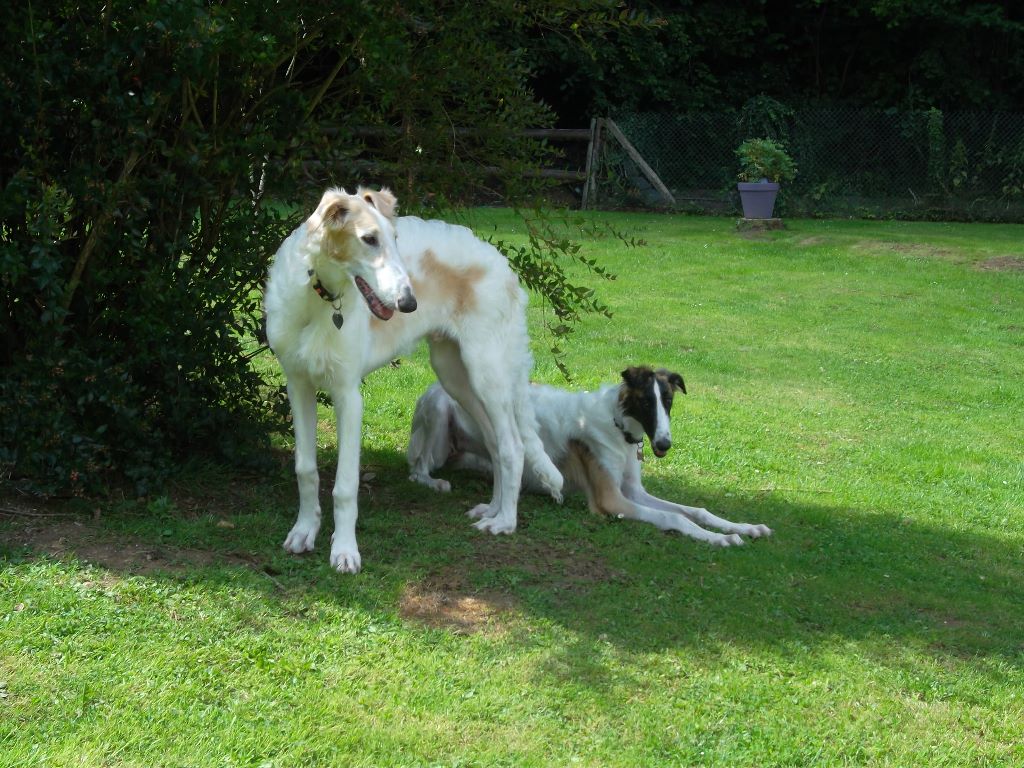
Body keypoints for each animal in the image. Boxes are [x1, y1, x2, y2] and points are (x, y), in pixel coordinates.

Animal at [264, 188, 561, 573]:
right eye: (369, 239)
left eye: (395, 238)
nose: (409, 303)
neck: (320, 298)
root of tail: (504, 266)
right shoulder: (298, 384)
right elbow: (306, 469)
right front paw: (304, 531)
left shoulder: (348, 395)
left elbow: (344, 486)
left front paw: (344, 551)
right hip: (457, 376)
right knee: (496, 444)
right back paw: (493, 508)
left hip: (488, 372)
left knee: (513, 445)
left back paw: (505, 522)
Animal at [403, 366, 770, 548]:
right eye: (646, 402)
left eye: (668, 401)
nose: (664, 445)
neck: (619, 427)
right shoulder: (611, 499)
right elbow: (674, 518)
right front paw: (720, 539)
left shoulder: (632, 489)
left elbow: (694, 510)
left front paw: (744, 528)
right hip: (438, 415)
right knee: (417, 469)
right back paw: (434, 483)